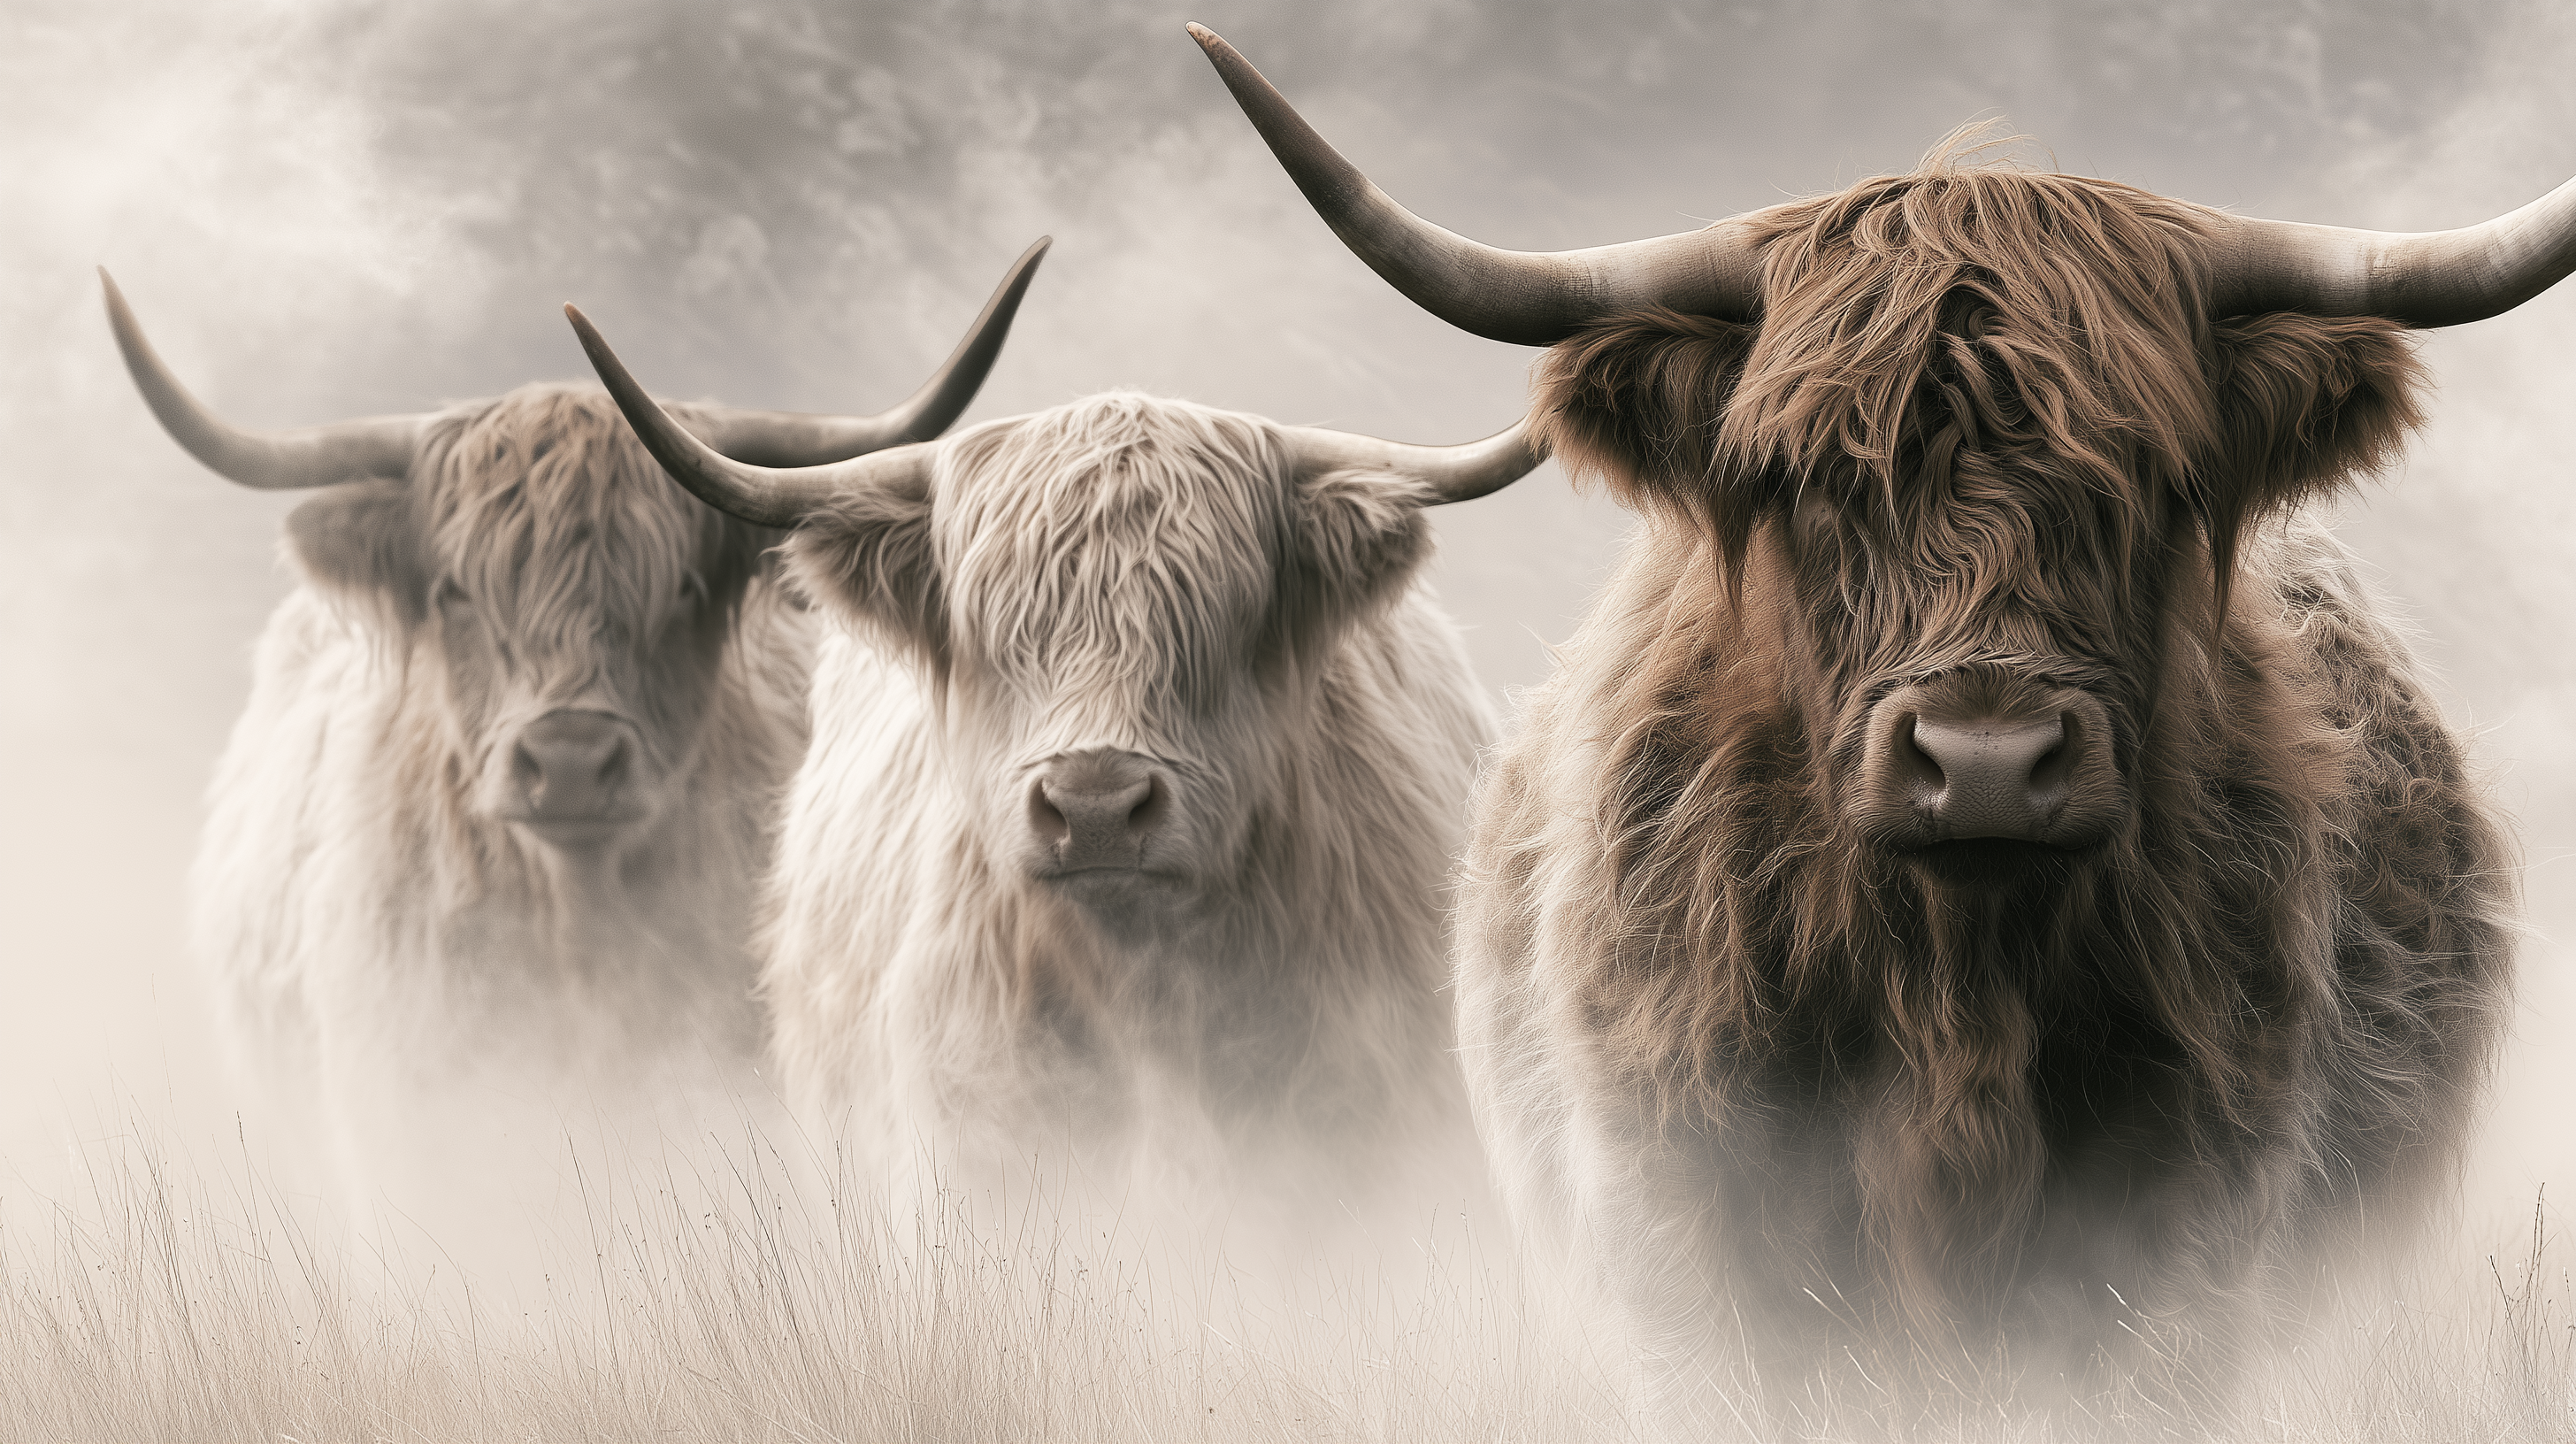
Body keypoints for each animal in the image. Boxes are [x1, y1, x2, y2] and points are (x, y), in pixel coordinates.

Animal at [1190, 24, 2572, 1431]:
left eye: (2152, 480)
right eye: (1807, 477)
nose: (1987, 765)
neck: (1958, 991)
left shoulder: (2196, 1218)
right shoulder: (1689, 1227)